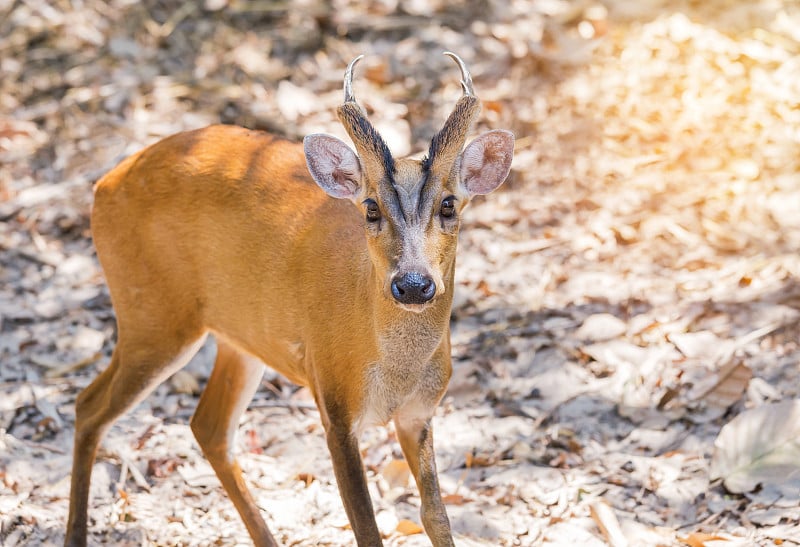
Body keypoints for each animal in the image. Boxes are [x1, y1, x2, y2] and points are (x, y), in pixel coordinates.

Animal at [67, 52, 520, 547]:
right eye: (371, 208)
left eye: (449, 205)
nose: (414, 284)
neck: (392, 369)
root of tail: (103, 185)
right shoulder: (334, 405)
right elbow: (366, 527)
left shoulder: (419, 413)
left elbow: (434, 514)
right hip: (152, 316)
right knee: (88, 405)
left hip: (239, 336)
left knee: (208, 426)